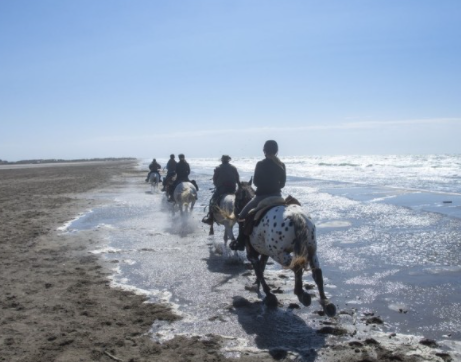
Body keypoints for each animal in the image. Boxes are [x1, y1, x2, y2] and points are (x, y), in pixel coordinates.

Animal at [235, 181, 336, 316]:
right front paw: (257, 286)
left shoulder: (252, 254)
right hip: (311, 250)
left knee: (296, 267)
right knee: (317, 273)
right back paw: (326, 303)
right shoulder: (265, 254)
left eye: (236, 196)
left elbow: (259, 271)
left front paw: (268, 294)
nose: (236, 213)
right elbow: (261, 268)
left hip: (279, 254)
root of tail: (295, 216)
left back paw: (301, 295)